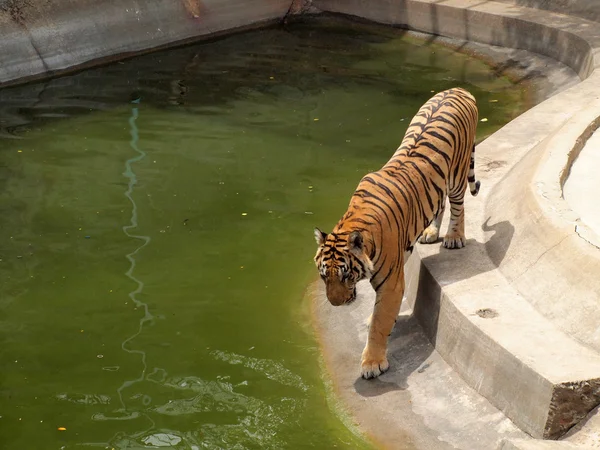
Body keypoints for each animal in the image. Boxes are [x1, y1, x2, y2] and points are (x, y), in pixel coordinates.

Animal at [314, 87, 478, 380]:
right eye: (324, 276)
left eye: (345, 275)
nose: (335, 304)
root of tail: (459, 89)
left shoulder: (391, 283)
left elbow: (380, 323)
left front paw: (372, 363)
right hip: (438, 186)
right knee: (440, 204)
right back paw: (430, 232)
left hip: (457, 176)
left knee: (458, 206)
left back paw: (454, 238)